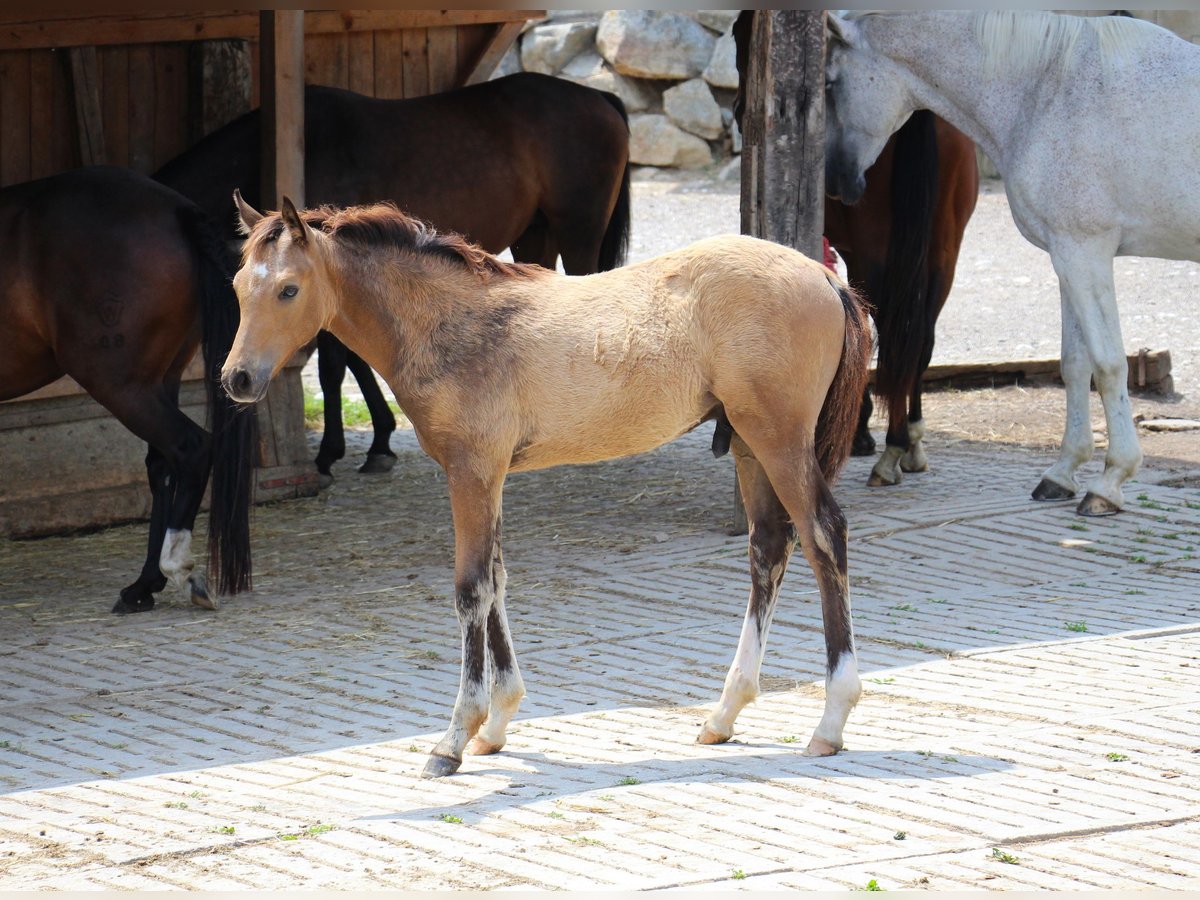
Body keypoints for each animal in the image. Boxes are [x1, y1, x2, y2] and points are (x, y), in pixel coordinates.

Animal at [1, 166, 255, 619]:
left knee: (190, 448)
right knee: (163, 465)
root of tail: (176, 209)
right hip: (159, 380)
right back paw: (143, 585)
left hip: (120, 385)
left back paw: (177, 568)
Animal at [154, 73, 633, 487]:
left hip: (578, 231)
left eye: (287, 291)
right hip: (536, 235)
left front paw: (333, 453)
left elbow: (334, 366)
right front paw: (379, 441)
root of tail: (599, 97)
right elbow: (355, 358)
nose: (235, 379)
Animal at [218, 195, 873, 777]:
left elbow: (471, 588)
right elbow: (497, 579)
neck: (454, 323)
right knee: (769, 549)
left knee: (823, 536)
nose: (237, 379)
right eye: (238, 287)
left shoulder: (471, 472)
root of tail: (822, 276)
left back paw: (830, 722)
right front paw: (498, 724)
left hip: (780, 441)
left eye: (288, 289)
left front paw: (453, 739)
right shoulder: (490, 477)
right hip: (747, 445)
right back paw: (723, 715)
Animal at [724, 12, 979, 487]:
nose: (739, 109)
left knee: (890, 327)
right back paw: (910, 438)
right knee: (920, 333)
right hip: (944, 249)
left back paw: (891, 446)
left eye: (739, 35)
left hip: (876, 248)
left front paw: (859, 431)